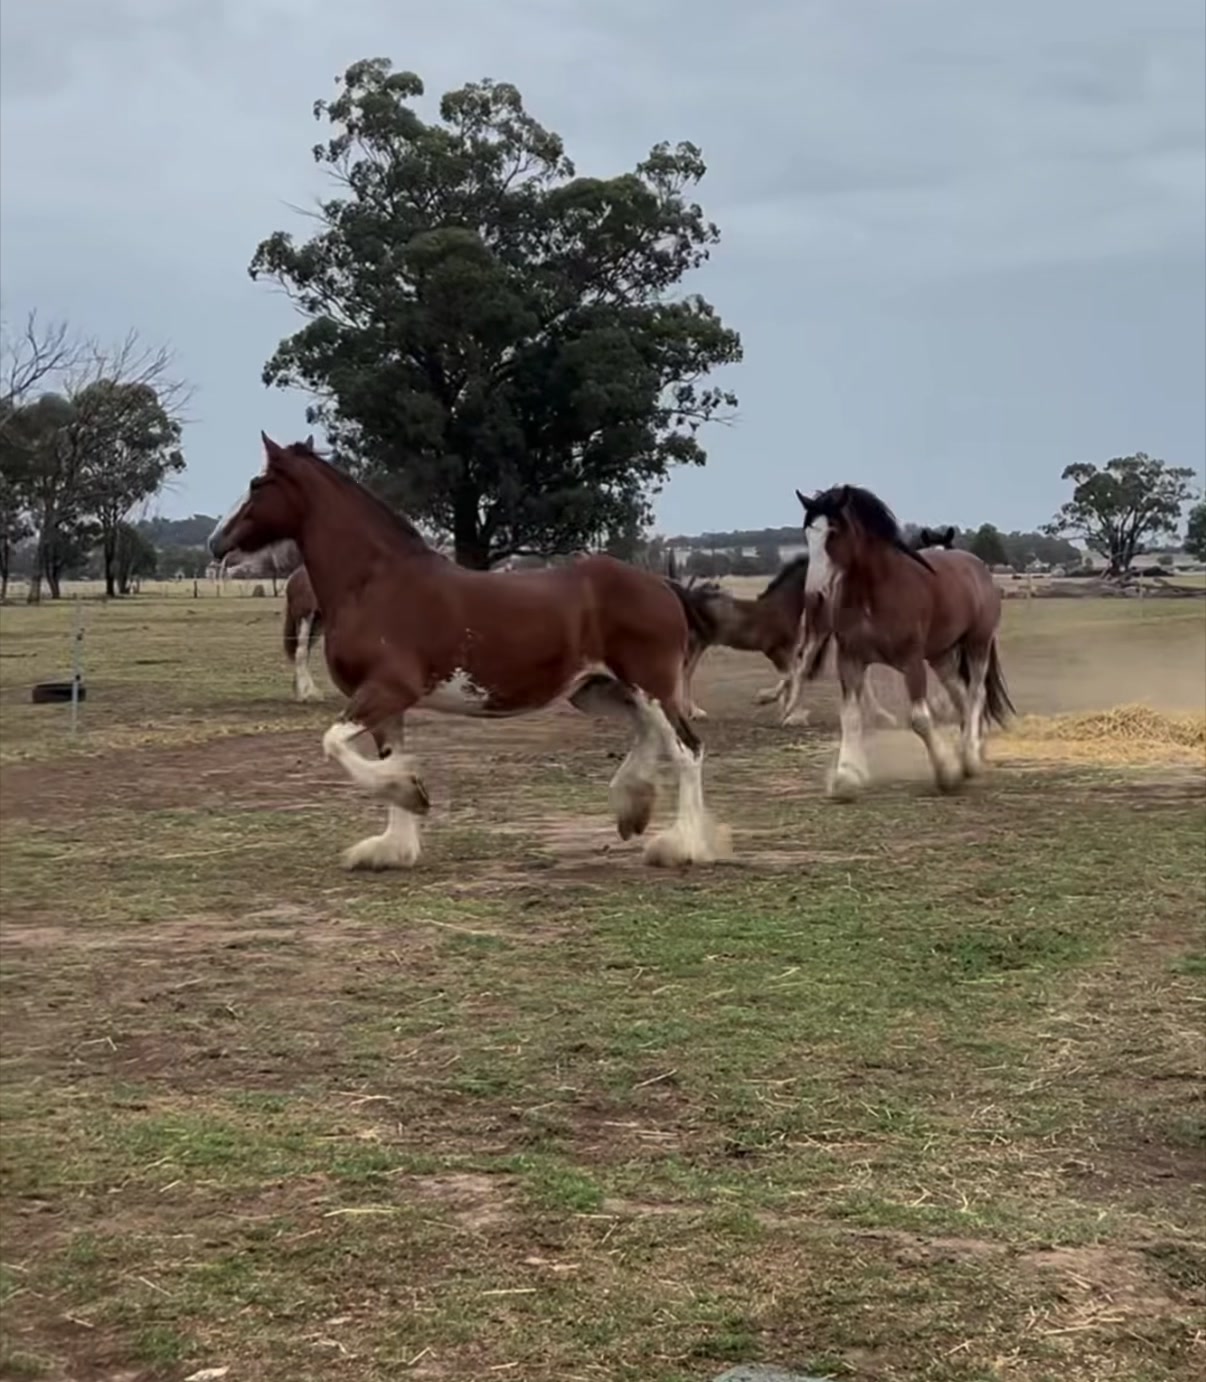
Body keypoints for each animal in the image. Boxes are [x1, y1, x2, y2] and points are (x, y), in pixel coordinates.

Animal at [209, 434, 730, 871]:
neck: (373, 583)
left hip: (649, 684)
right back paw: (632, 808)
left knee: (687, 750)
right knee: (649, 736)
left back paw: (681, 845)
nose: (217, 542)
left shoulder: (386, 690)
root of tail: (660, 585)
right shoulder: (386, 704)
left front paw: (412, 794)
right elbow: (387, 757)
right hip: (598, 690)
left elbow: (334, 743)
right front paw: (394, 845)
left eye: (257, 484)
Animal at [671, 560, 898, 728]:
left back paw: (693, 712)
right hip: (695, 643)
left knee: (686, 672)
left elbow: (794, 675)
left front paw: (786, 711)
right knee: (684, 672)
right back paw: (691, 712)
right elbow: (793, 675)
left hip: (699, 644)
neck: (782, 606)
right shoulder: (774, 650)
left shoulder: (789, 650)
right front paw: (784, 708)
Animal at [793, 484, 1012, 799]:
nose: (815, 597)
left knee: (976, 694)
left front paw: (947, 773)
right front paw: (847, 776)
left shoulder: (911, 661)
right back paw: (970, 751)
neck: (875, 592)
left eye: (833, 532)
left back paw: (970, 758)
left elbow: (920, 719)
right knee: (960, 694)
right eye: (808, 534)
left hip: (977, 644)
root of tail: (978, 567)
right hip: (941, 656)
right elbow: (851, 716)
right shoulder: (850, 658)